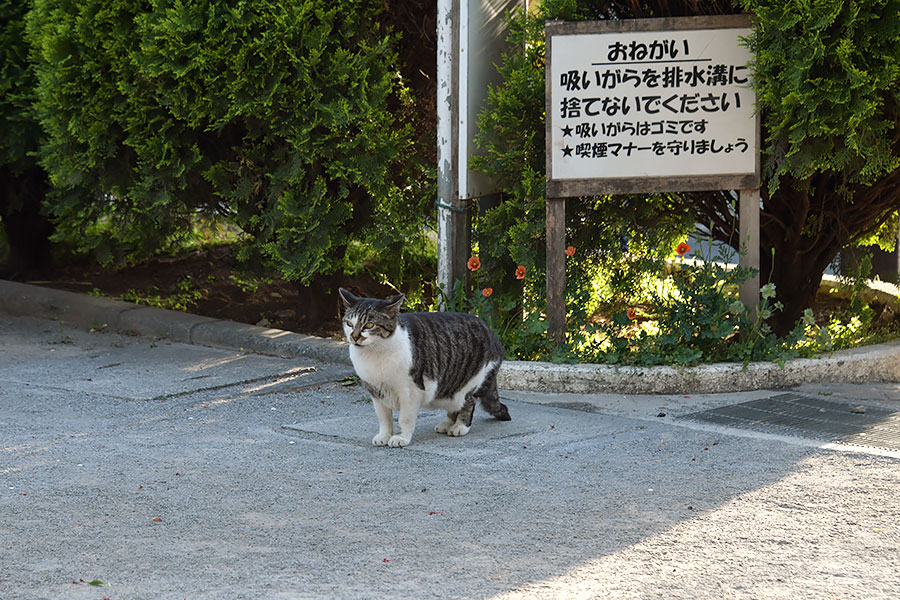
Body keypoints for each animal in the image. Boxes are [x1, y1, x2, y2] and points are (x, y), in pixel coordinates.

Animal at [338, 288, 510, 448]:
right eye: (349, 324)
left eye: (369, 325)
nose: (354, 336)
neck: (375, 355)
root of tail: (490, 331)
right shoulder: (376, 392)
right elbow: (384, 418)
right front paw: (384, 435)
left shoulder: (410, 392)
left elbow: (405, 418)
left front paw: (401, 437)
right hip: (449, 387)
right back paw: (447, 424)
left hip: (471, 381)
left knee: (469, 402)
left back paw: (460, 426)